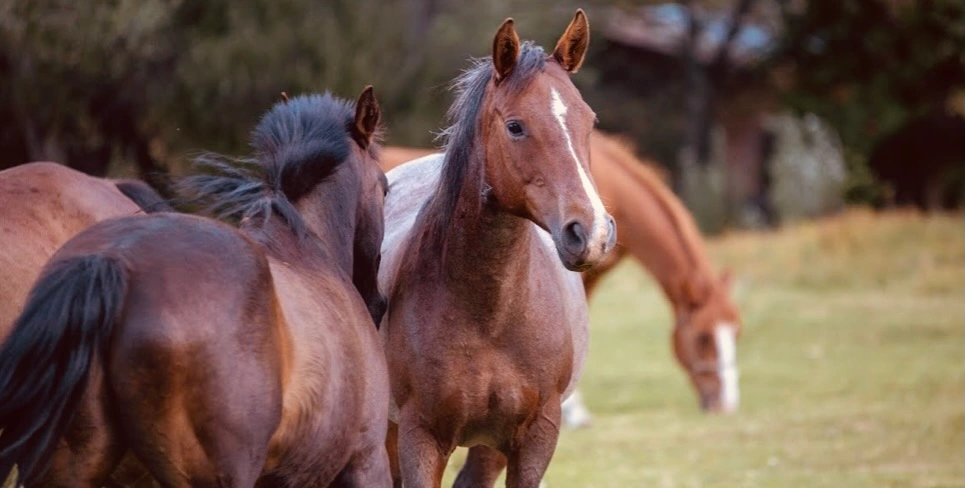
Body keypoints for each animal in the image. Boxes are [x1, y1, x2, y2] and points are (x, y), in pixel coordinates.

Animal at [376, 11, 612, 488]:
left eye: (589, 121)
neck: (491, 315)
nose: (592, 233)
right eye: (516, 126)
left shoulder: (536, 437)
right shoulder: (420, 437)